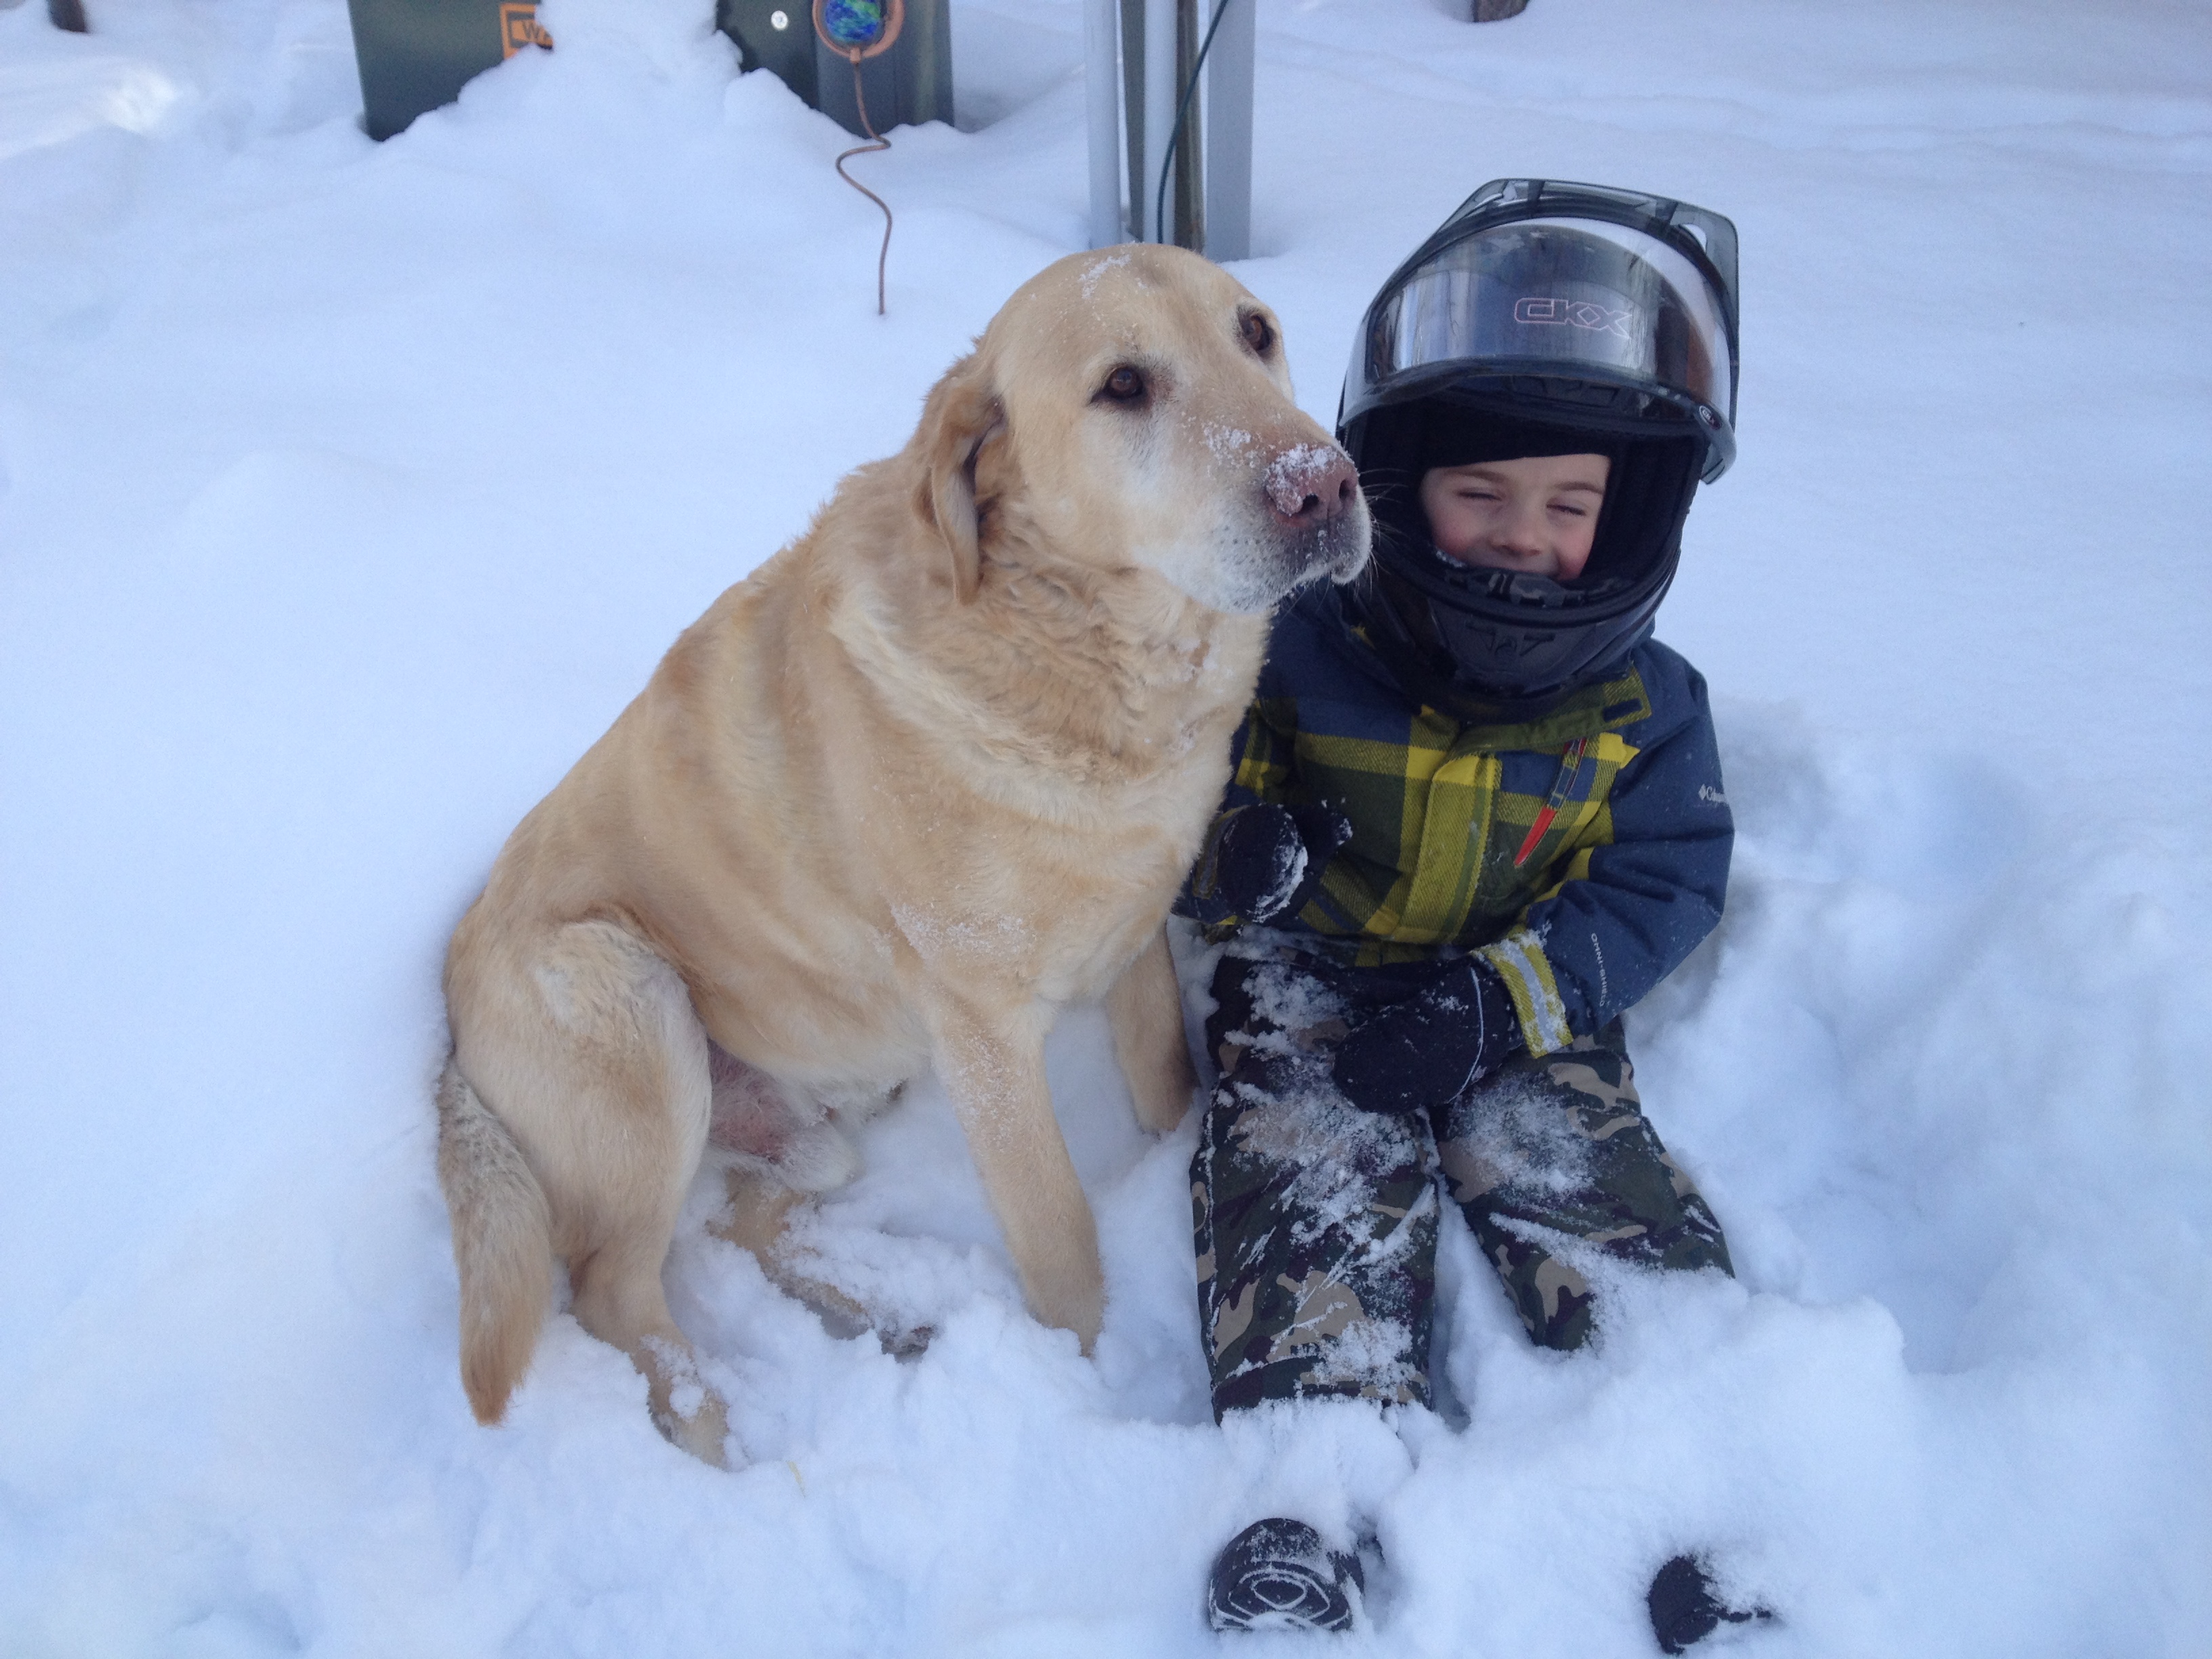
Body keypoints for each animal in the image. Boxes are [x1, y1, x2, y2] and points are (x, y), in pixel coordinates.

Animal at [431, 237, 1362, 1469]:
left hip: (820, 1116)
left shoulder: (1134, 944)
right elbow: (1060, 1239)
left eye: (1255, 332)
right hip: (635, 1007)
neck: (1083, 666)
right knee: (610, 1286)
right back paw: (719, 1432)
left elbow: (1167, 1086)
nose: (1324, 484)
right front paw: (1081, 1394)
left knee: (752, 1220)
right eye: (1123, 385)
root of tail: (447, 1031)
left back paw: (895, 1312)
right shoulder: (984, 1040)